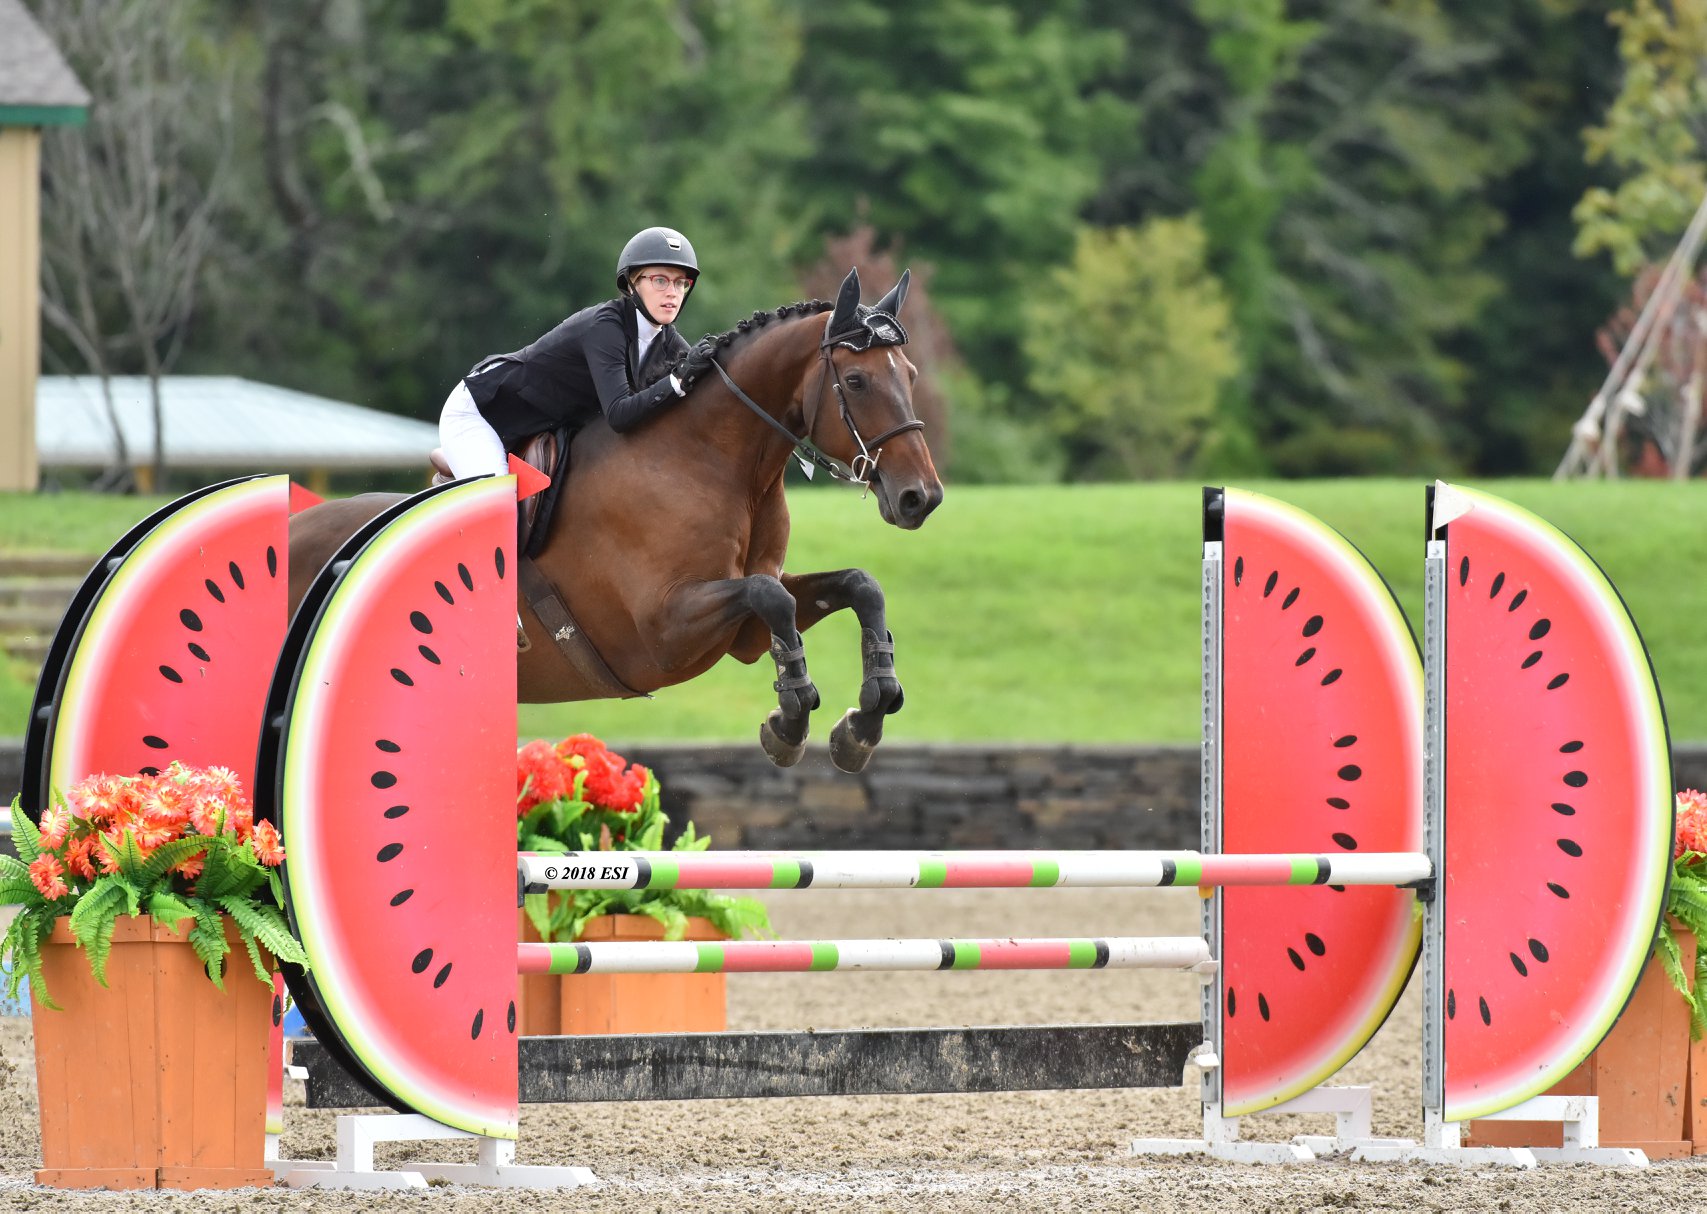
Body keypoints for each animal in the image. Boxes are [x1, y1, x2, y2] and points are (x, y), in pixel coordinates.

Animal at [285, 271, 942, 775]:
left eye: (909, 375)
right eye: (855, 380)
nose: (921, 499)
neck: (717, 462)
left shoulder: (744, 635)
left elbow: (855, 586)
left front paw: (863, 719)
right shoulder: (665, 630)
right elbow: (769, 598)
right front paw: (790, 720)